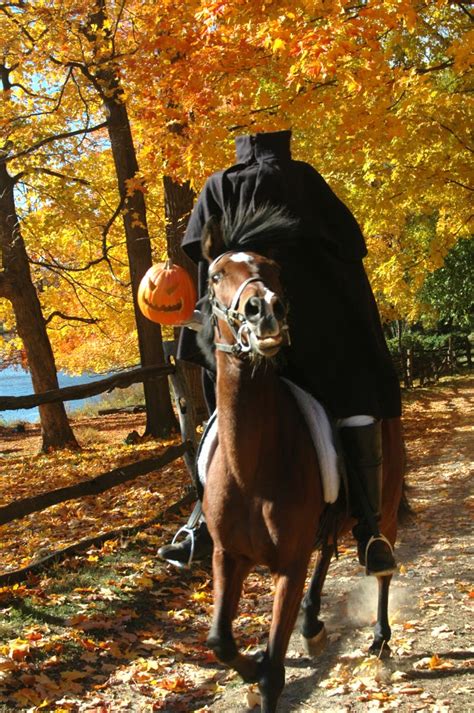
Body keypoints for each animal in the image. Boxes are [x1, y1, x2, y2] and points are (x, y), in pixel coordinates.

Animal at [199, 213, 404, 712]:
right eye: (216, 274)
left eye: (275, 270)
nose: (265, 311)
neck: (250, 468)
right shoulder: (227, 556)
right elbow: (220, 641)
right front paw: (249, 667)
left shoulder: (287, 566)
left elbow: (274, 672)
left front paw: (262, 673)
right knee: (327, 551)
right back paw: (313, 626)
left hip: (385, 512)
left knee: (382, 568)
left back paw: (380, 638)